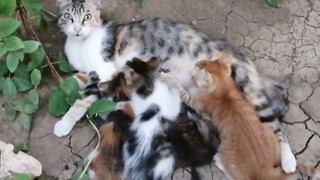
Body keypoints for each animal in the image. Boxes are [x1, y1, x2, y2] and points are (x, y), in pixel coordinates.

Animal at [53, 0, 296, 175]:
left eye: (87, 16)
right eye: (68, 16)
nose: (77, 28)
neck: (80, 44)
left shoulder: (105, 71)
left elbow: (84, 100)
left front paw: (64, 124)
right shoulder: (86, 72)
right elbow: (74, 83)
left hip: (248, 88)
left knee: (275, 125)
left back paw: (288, 160)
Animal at [161, 51, 320, 179]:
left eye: (200, 65)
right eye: (204, 61)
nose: (196, 63)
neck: (223, 88)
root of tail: (267, 171)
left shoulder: (196, 103)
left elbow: (181, 90)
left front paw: (168, 77)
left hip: (226, 151)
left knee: (236, 176)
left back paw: (219, 161)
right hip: (266, 130)